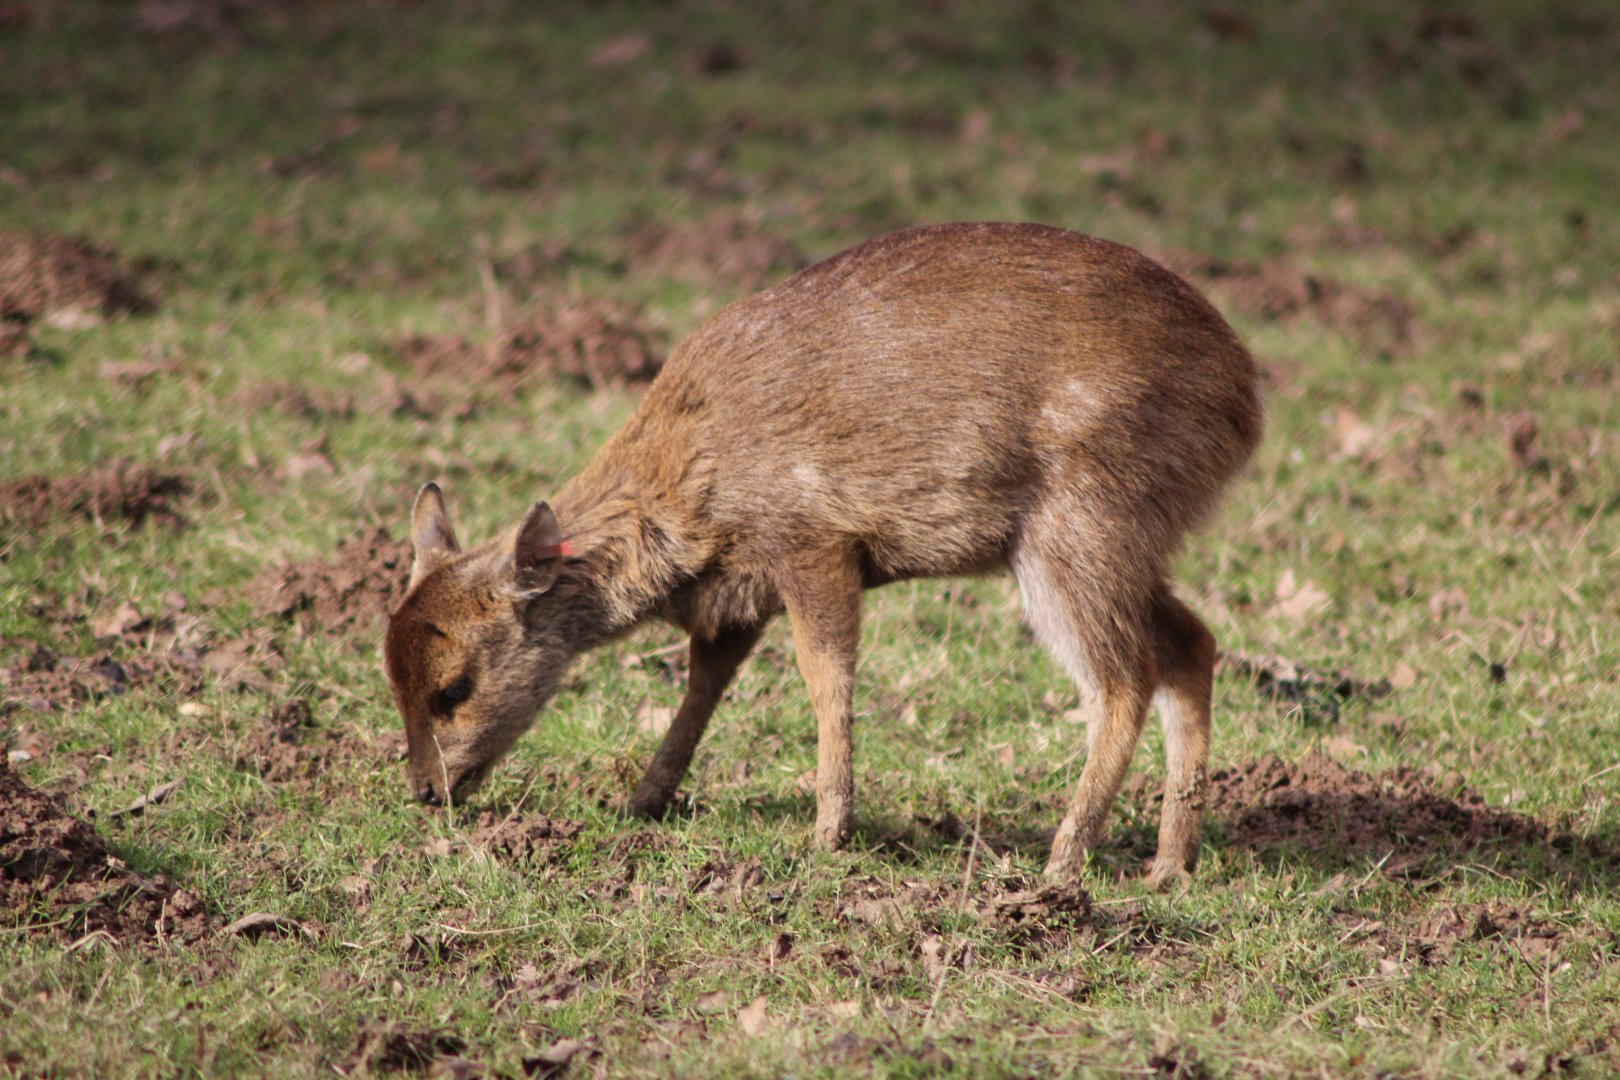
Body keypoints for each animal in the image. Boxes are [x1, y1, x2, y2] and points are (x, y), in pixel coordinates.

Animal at [383, 222, 1262, 887]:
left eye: (454, 689)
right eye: (391, 680)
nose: (425, 791)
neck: (687, 488)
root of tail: (1245, 401)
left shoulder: (813, 539)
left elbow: (825, 675)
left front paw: (827, 832)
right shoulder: (735, 596)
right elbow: (704, 685)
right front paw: (641, 801)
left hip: (1079, 522)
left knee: (1122, 679)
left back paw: (1064, 858)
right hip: (1134, 536)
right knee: (1192, 642)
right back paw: (1169, 864)